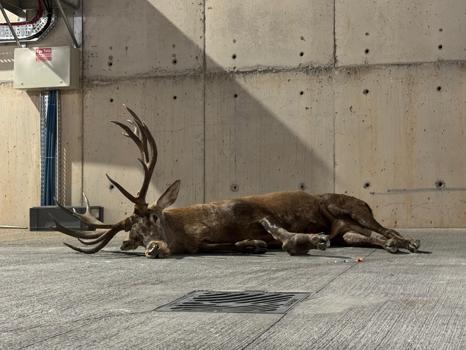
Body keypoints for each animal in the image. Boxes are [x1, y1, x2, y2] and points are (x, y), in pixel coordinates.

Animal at [52, 106, 420, 258]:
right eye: (134, 236)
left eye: (154, 217)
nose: (152, 248)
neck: (197, 228)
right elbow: (229, 244)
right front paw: (252, 244)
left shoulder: (251, 211)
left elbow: (276, 233)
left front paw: (300, 240)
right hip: (346, 229)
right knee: (367, 236)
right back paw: (392, 245)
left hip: (349, 207)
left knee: (384, 227)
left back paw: (408, 242)